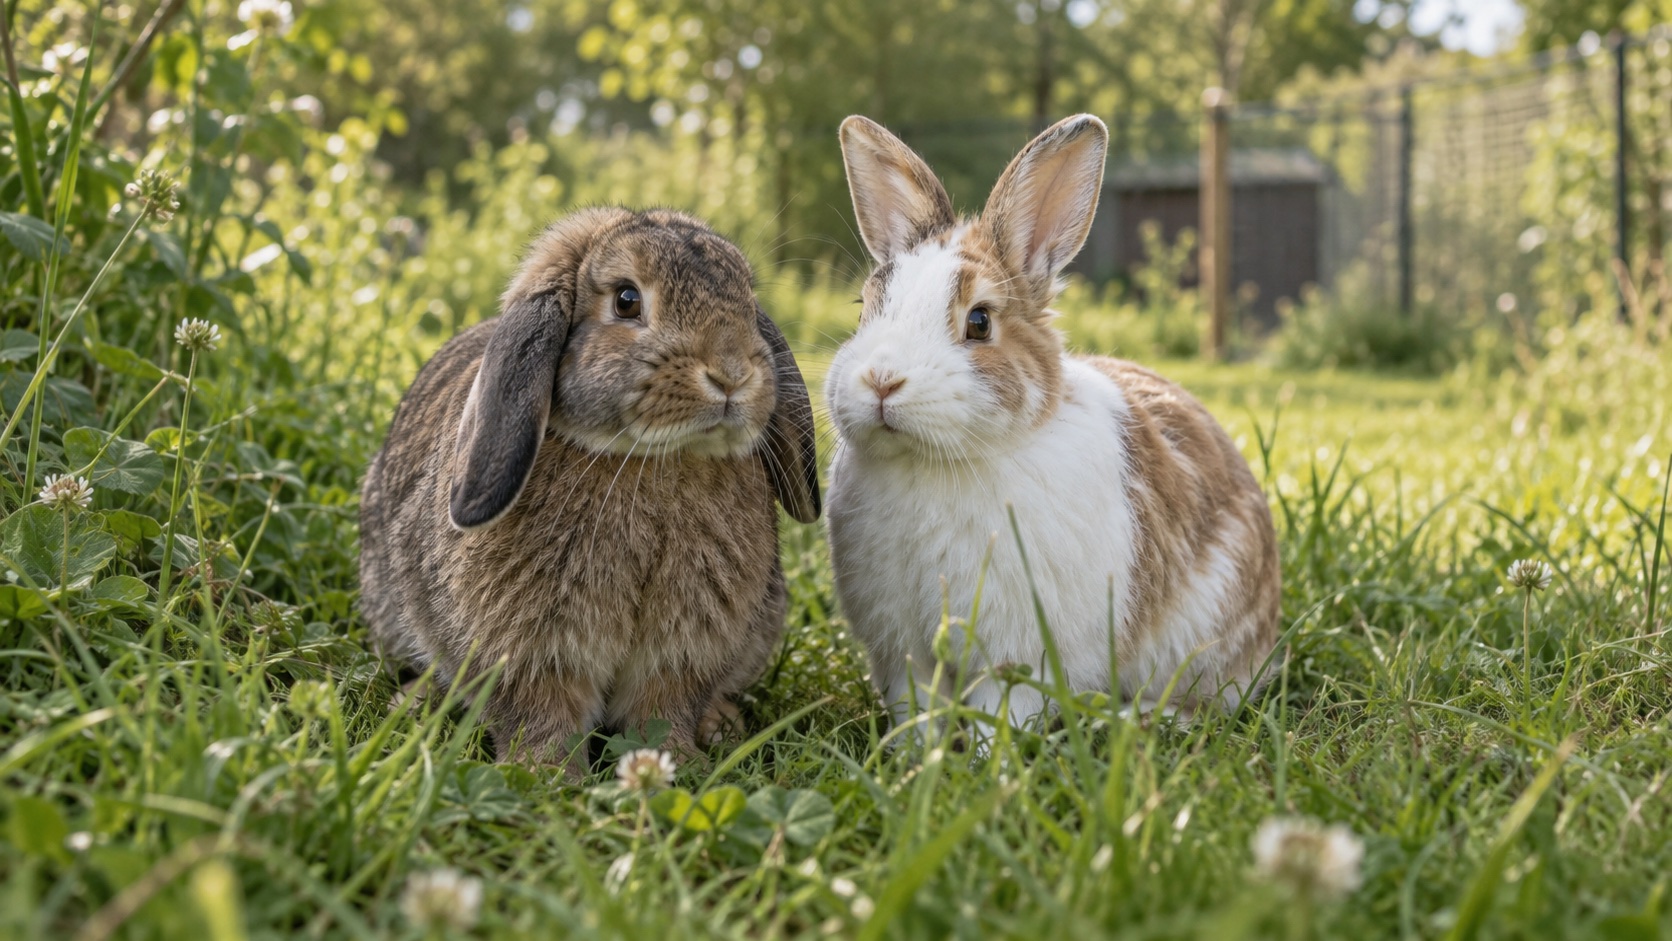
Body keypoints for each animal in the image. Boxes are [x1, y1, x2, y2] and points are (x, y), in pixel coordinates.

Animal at [359, 207, 821, 768]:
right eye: (626, 300)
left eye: (748, 303)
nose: (732, 375)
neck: (645, 458)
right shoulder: (531, 650)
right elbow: (542, 712)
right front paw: (545, 772)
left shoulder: (684, 649)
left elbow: (662, 707)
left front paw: (680, 761)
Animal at [824, 115, 1280, 732]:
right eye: (865, 306)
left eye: (979, 321)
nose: (881, 380)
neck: (936, 462)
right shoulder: (905, 657)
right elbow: (915, 710)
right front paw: (911, 753)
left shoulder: (1022, 658)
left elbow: (1003, 712)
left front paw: (987, 756)